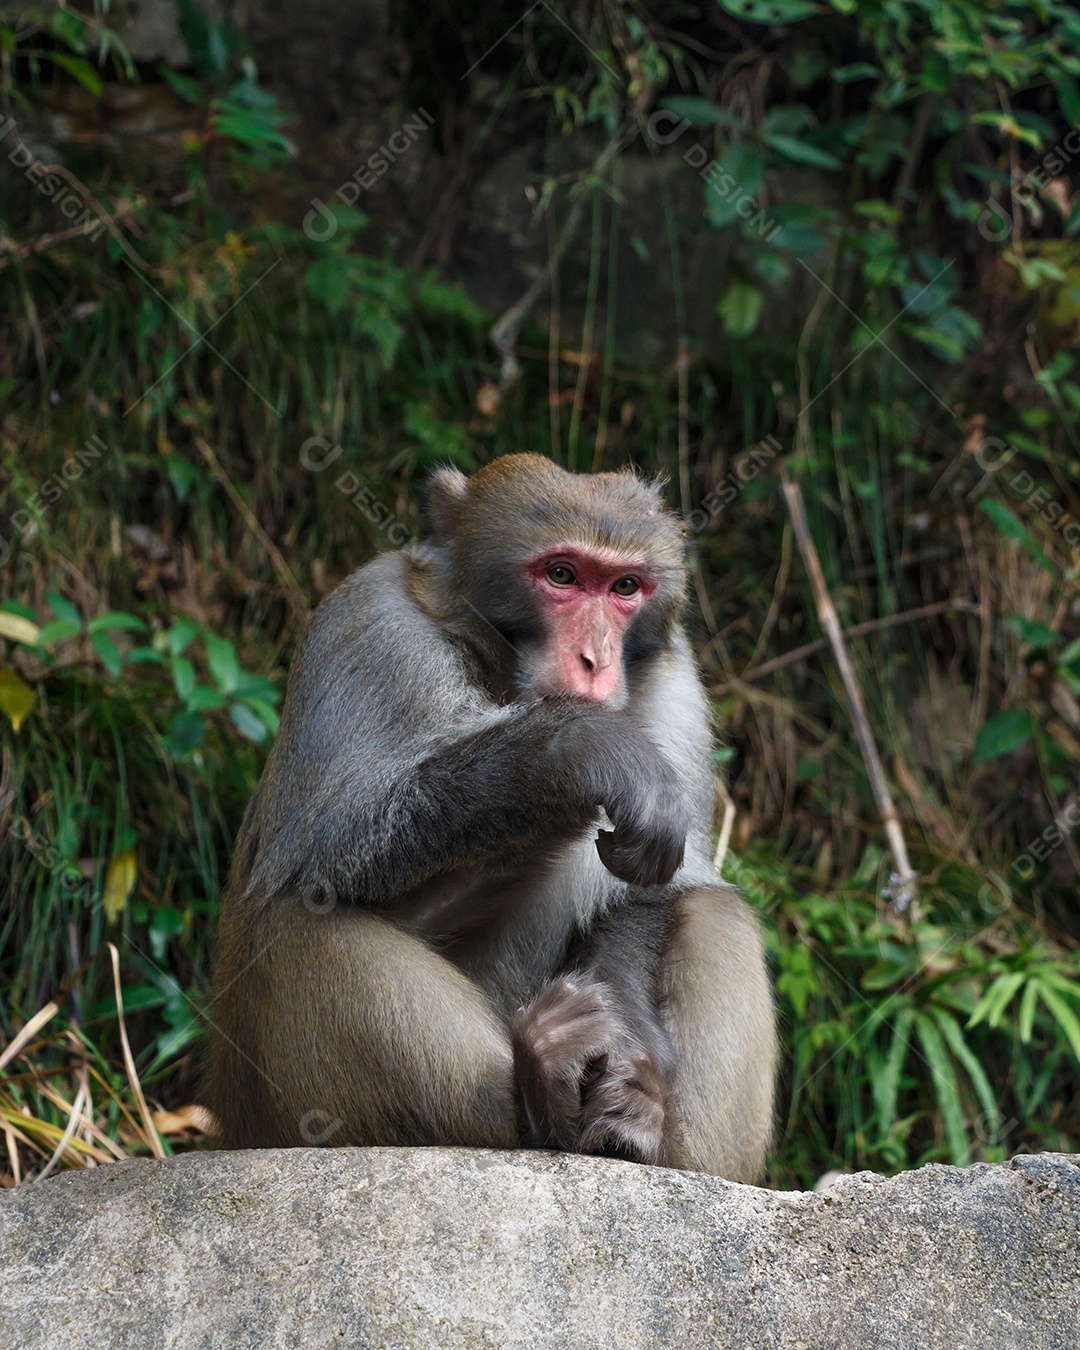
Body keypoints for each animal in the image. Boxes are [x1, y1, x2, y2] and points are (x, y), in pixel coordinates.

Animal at [203, 453, 775, 1180]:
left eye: (625, 586)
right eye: (561, 575)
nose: (596, 662)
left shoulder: (677, 688)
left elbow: (656, 890)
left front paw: (627, 1063)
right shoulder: (368, 623)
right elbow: (338, 846)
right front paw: (578, 749)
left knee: (715, 910)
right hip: (267, 1107)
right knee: (299, 916)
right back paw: (537, 1099)